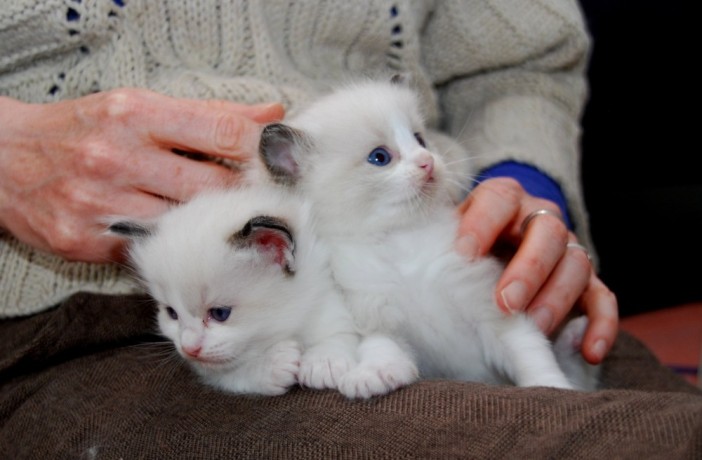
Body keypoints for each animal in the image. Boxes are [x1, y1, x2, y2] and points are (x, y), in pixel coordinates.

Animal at [258, 78, 600, 392]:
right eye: (379, 157)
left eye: (419, 139)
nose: (428, 162)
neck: (401, 242)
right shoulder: (377, 315)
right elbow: (381, 345)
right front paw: (374, 374)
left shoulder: (489, 308)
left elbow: (528, 352)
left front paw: (551, 387)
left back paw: (576, 339)